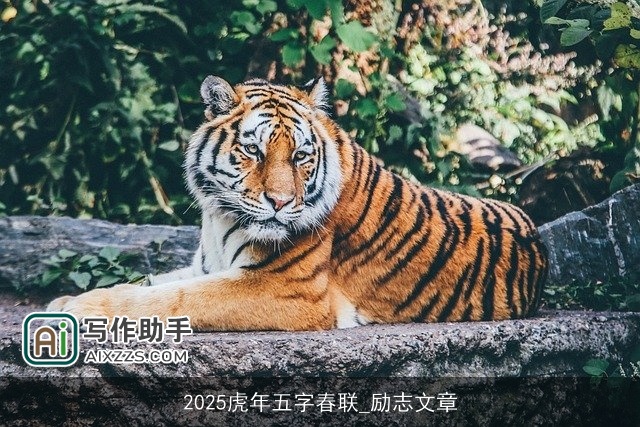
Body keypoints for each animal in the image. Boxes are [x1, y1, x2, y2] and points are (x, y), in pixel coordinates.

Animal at [47, 76, 548, 331]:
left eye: (301, 156)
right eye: (254, 150)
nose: (280, 202)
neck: (218, 217)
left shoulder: (284, 288)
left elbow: (170, 298)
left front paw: (75, 309)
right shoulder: (206, 266)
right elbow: (150, 283)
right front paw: (69, 298)